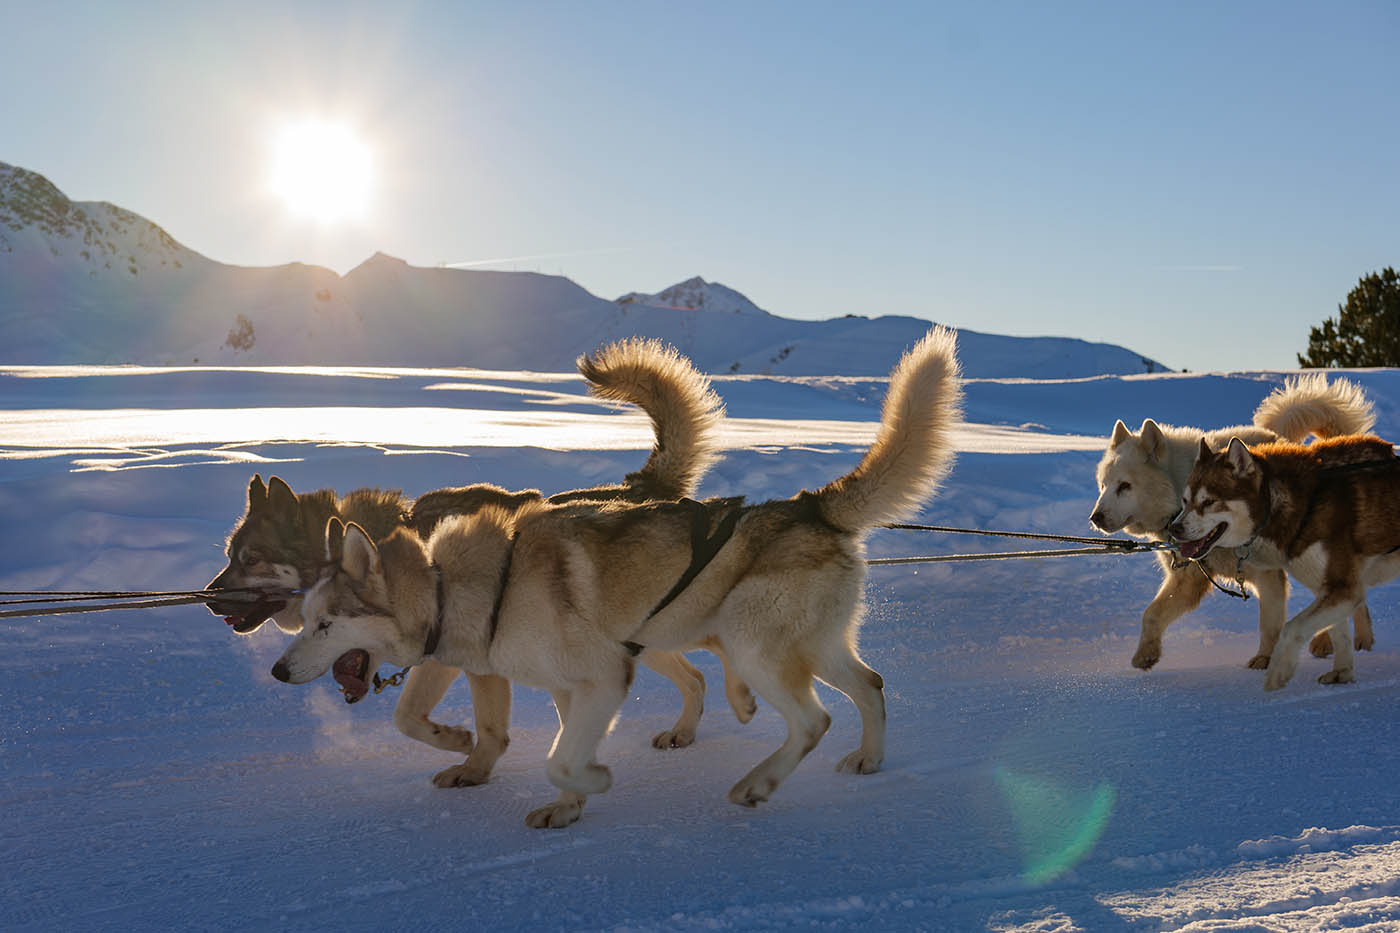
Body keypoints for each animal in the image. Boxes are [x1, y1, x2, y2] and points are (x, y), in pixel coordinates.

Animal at [207, 334, 750, 784]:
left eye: (250, 559)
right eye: (231, 555)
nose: (210, 598)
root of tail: (641, 488)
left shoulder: (452, 659)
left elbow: (411, 717)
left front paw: (457, 743)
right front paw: (474, 763)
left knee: (713, 649)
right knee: (696, 674)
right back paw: (688, 727)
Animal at [270, 323, 963, 823]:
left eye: (327, 624)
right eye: (305, 619)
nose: (277, 671)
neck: (450, 583)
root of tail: (810, 504)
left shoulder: (603, 675)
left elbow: (558, 758)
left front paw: (589, 781)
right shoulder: (566, 685)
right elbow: (546, 745)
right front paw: (563, 802)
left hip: (755, 644)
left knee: (811, 719)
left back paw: (757, 782)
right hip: (797, 643)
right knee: (869, 685)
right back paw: (866, 758)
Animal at [1086, 369, 1372, 669]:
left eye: (1125, 486)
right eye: (1103, 485)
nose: (1095, 517)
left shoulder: (1267, 575)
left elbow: (1270, 624)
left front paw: (1265, 659)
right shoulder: (1188, 579)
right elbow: (1151, 614)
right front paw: (1146, 654)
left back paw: (1339, 641)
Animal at [1176, 431, 1400, 686]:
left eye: (1209, 502)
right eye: (1185, 501)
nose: (1174, 528)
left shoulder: (1344, 588)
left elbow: (1292, 628)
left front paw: (1279, 670)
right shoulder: (1329, 588)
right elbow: (1339, 633)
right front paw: (1342, 672)